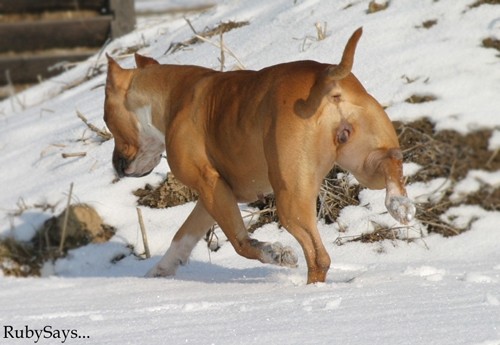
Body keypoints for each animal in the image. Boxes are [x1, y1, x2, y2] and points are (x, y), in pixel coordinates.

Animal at [102, 28, 414, 282]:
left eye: (107, 120)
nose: (116, 166)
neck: (171, 96)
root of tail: (326, 77)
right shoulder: (213, 195)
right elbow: (182, 236)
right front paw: (158, 273)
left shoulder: (210, 186)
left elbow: (240, 243)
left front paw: (274, 254)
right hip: (365, 164)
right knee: (390, 166)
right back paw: (399, 204)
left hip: (290, 200)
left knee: (317, 256)